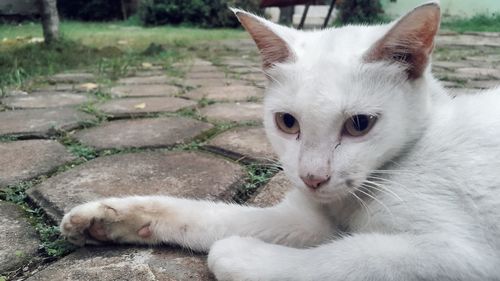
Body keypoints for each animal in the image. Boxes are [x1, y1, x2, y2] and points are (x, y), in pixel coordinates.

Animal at [59, 2, 500, 280]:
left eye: (359, 124)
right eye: (287, 122)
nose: (312, 178)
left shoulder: (460, 255)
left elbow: (348, 260)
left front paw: (238, 254)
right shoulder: (308, 220)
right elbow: (209, 216)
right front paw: (109, 218)